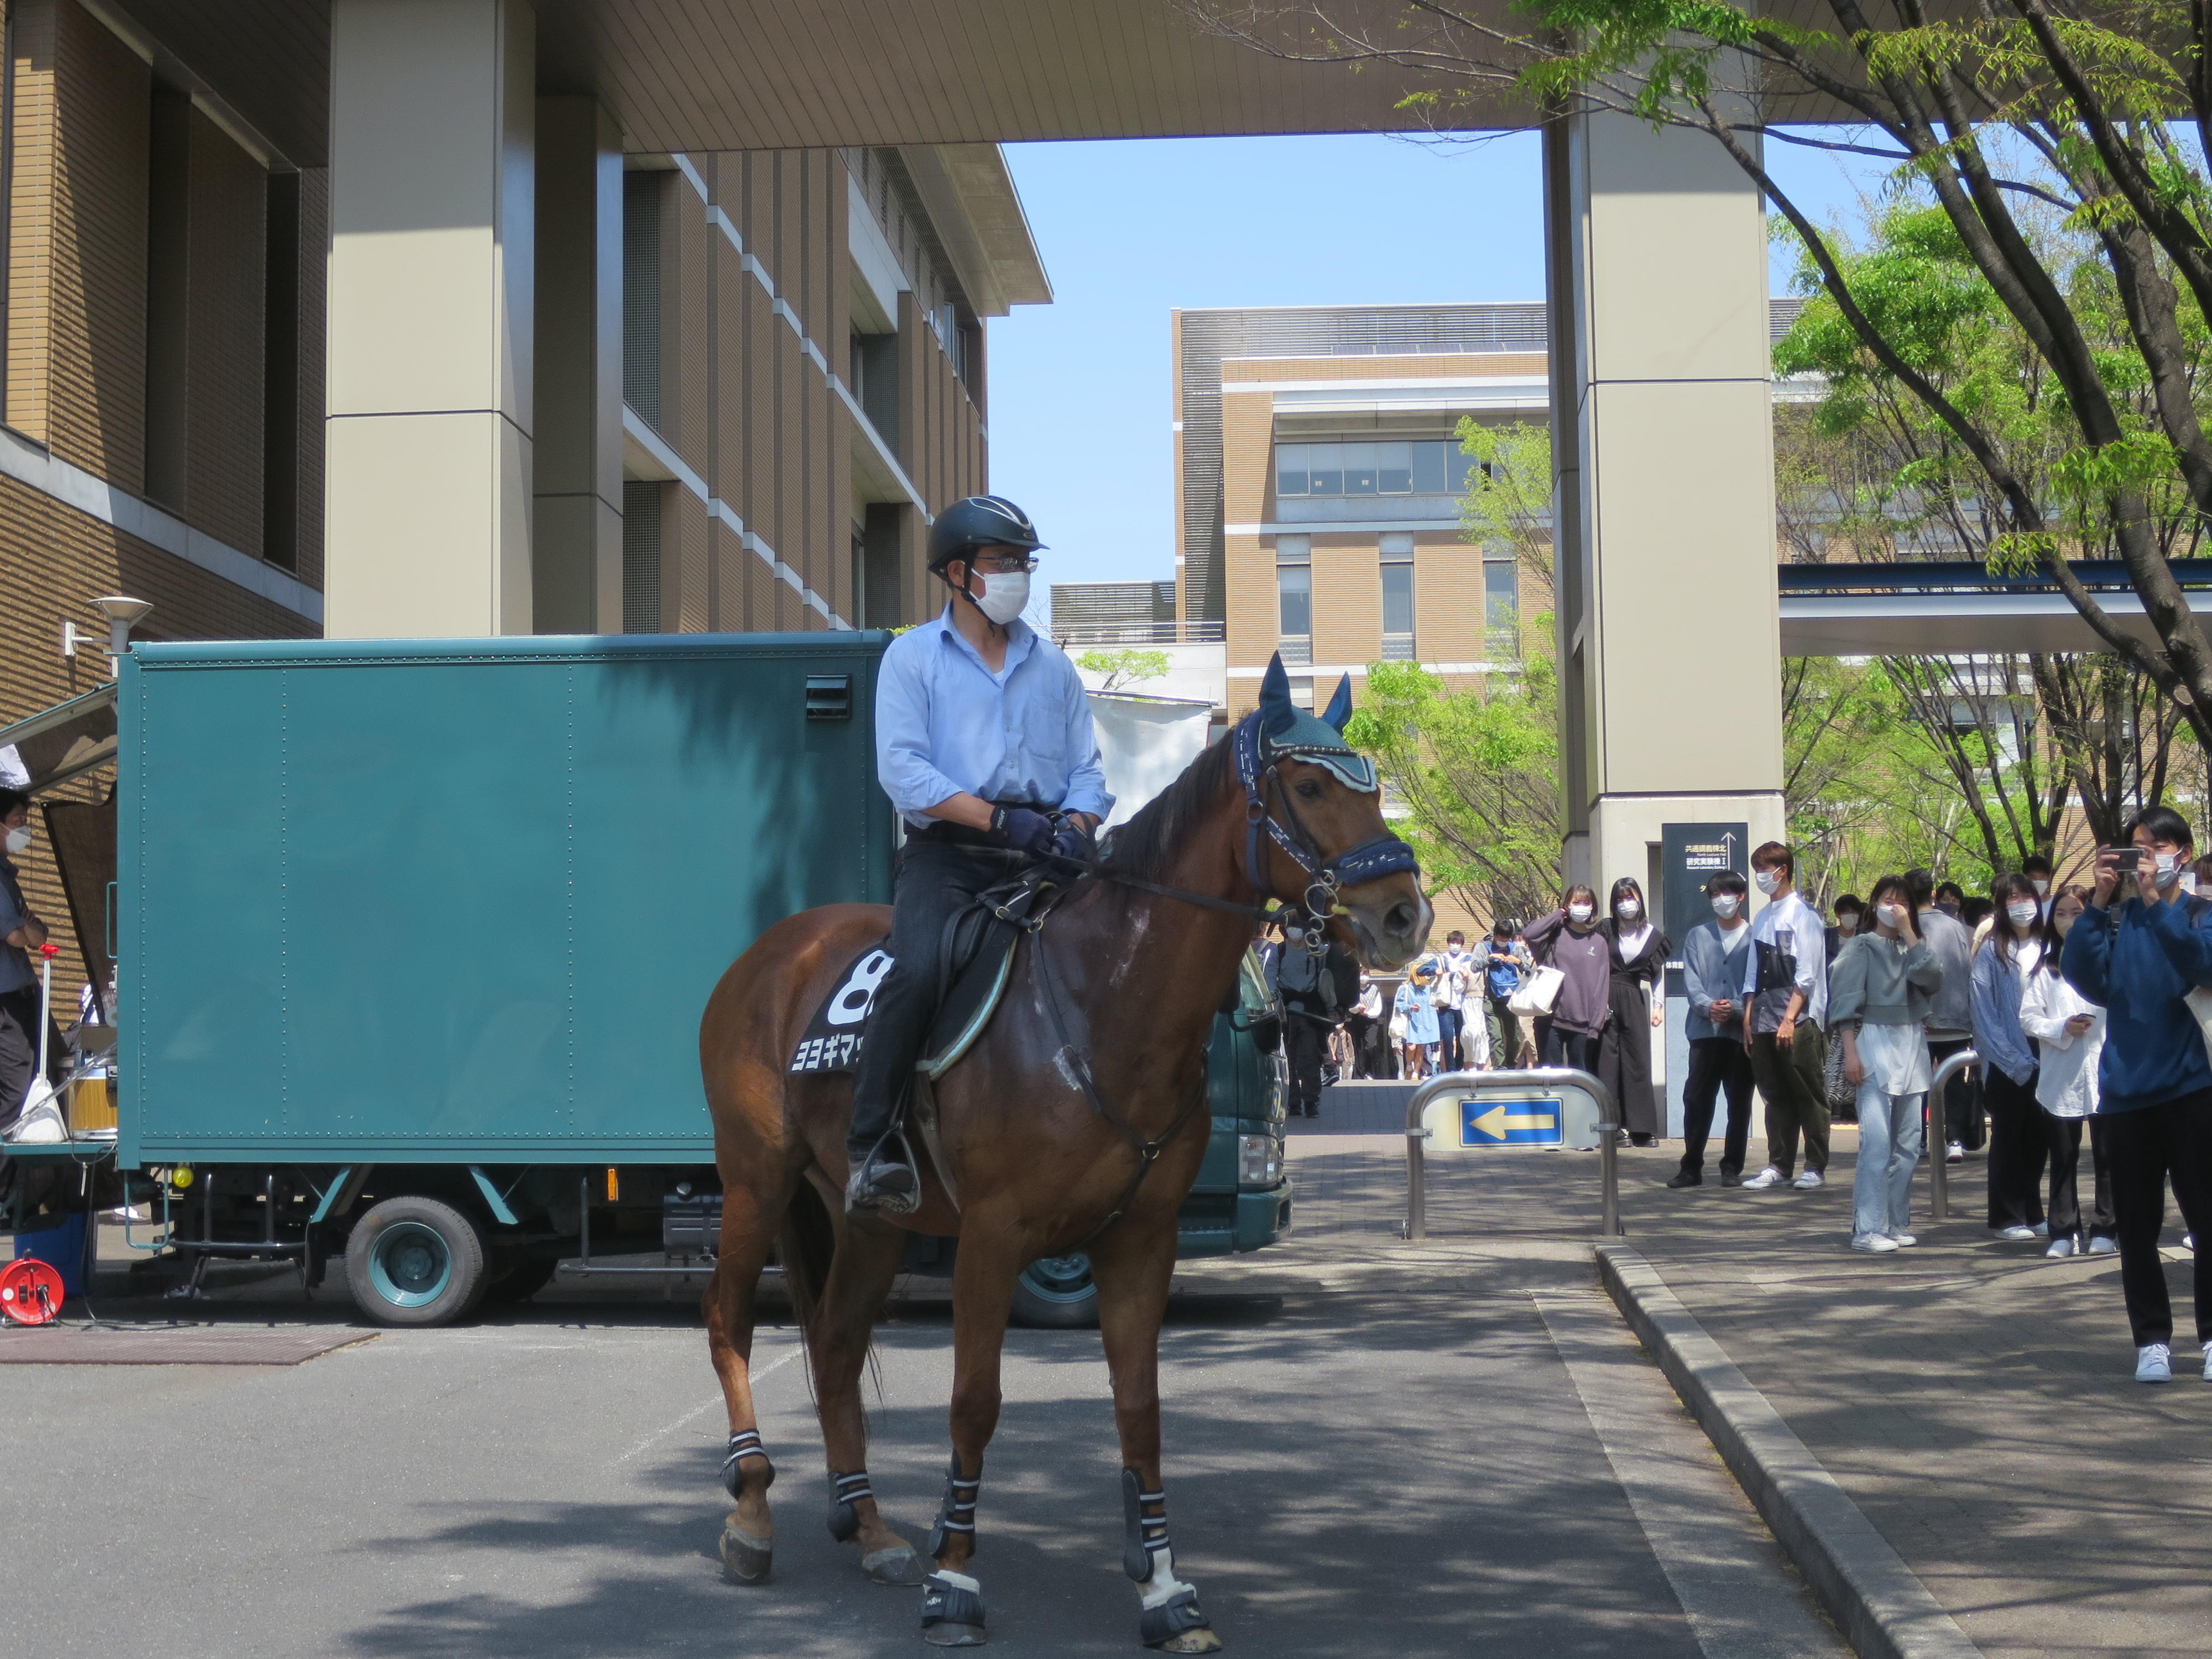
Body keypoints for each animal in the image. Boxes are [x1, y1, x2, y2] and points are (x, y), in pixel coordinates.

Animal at [695, 686, 1433, 1655]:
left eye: (1374, 785)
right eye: (1309, 787)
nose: (1404, 915)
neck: (1102, 1001)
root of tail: (772, 951)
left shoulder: (1141, 1241)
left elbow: (1141, 1410)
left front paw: (1164, 1589)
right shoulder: (993, 1238)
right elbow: (974, 1402)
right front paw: (955, 1582)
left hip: (868, 1219)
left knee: (836, 1341)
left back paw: (871, 1527)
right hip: (756, 1182)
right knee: (730, 1323)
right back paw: (750, 1514)